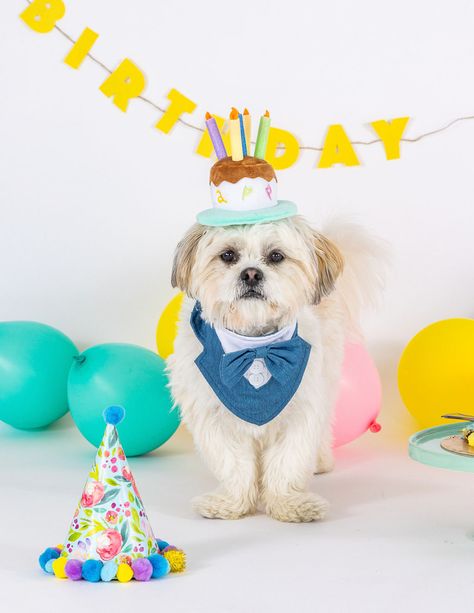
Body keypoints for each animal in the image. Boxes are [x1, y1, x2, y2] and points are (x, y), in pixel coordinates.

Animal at [167, 154, 382, 520]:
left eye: (276, 256)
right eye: (228, 255)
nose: (251, 273)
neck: (255, 347)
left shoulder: (302, 409)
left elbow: (287, 462)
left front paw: (290, 504)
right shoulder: (213, 414)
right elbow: (233, 464)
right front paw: (231, 503)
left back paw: (320, 460)